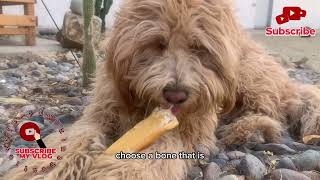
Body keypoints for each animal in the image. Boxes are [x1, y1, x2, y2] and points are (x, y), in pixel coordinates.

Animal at [3, 0, 320, 180]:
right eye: (157, 44)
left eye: (198, 48)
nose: (176, 94)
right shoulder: (102, 111)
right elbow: (79, 136)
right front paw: (48, 168)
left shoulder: (193, 128)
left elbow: (166, 144)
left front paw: (125, 172)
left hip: (249, 78)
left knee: (269, 113)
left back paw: (244, 130)